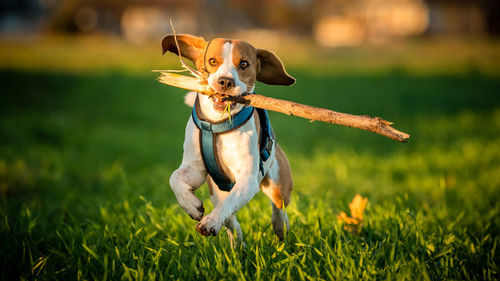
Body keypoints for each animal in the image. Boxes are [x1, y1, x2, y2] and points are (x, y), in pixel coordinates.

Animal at [164, 34, 294, 241]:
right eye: (212, 61)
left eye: (244, 64)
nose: (225, 81)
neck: (217, 125)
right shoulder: (195, 169)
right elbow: (174, 178)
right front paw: (192, 206)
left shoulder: (247, 180)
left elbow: (229, 203)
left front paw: (210, 221)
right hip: (215, 192)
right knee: (231, 220)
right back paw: (237, 241)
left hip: (276, 182)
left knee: (278, 207)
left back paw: (281, 228)